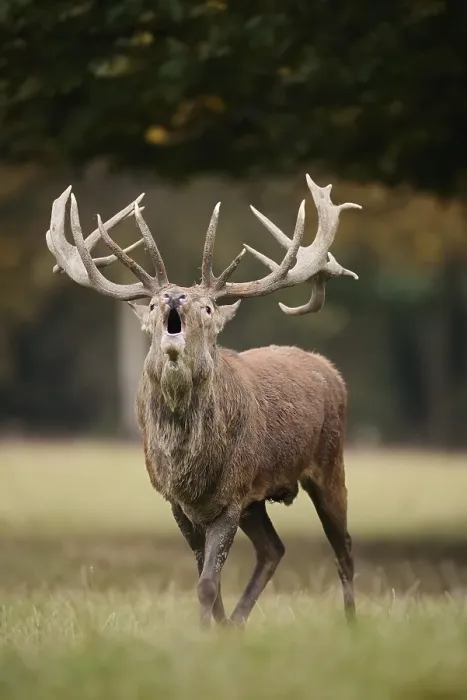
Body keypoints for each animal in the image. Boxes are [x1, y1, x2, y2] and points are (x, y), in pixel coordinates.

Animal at [46, 175, 361, 626]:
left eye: (208, 307)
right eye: (154, 303)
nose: (175, 297)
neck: (188, 463)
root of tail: (330, 369)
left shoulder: (232, 493)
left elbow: (208, 583)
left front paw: (205, 633)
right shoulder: (180, 502)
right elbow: (206, 580)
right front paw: (215, 629)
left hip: (329, 463)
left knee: (344, 549)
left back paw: (352, 625)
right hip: (257, 499)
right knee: (273, 548)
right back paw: (238, 625)